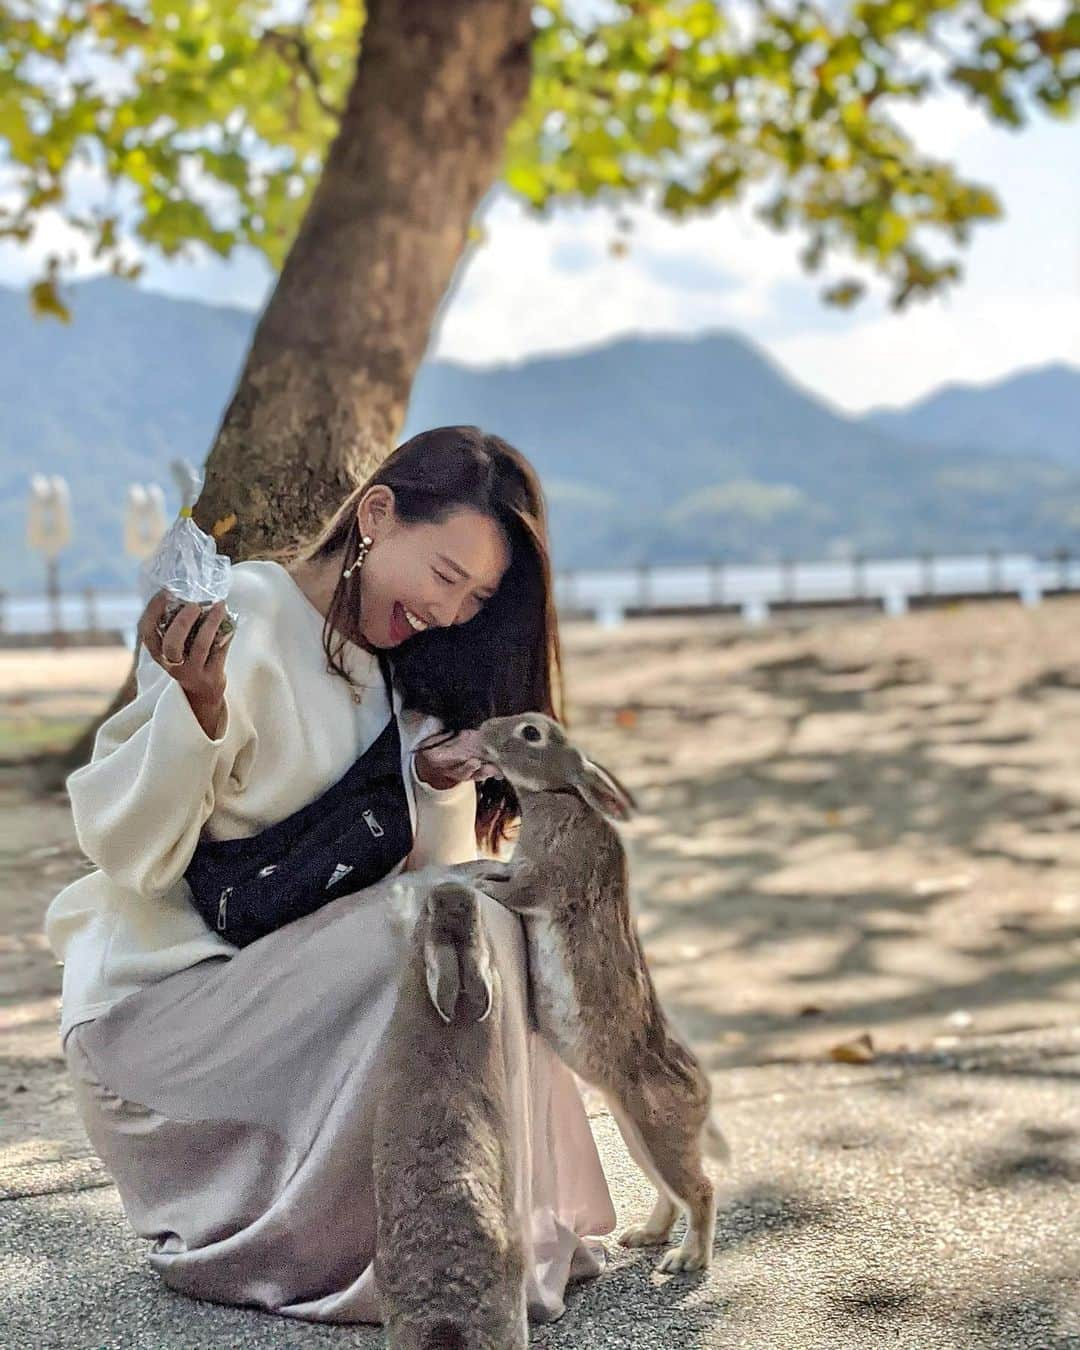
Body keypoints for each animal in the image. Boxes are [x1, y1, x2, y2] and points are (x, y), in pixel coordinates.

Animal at [477, 712, 729, 1269]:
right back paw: (644, 1236)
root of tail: (703, 1095)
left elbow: (515, 889)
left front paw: (479, 882)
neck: (559, 794)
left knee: (700, 1190)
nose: (483, 729)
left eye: (532, 733)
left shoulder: (544, 879)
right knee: (669, 1193)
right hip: (636, 1132)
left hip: (657, 1131)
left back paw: (687, 1259)